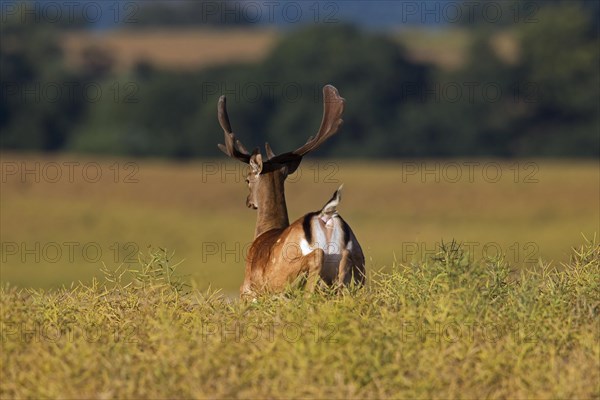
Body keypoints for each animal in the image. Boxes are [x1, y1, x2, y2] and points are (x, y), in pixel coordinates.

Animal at [217, 84, 364, 296]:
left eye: (247, 179)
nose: (248, 201)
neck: (263, 232)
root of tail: (325, 216)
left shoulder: (248, 287)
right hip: (359, 256)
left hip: (283, 269)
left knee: (316, 259)